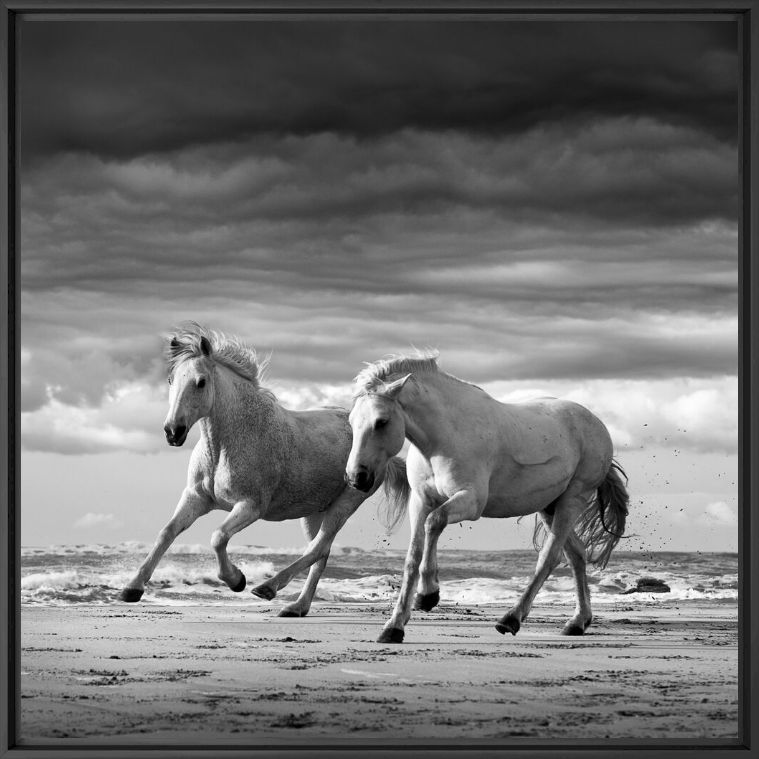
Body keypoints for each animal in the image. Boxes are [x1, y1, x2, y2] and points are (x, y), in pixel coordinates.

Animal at [120, 322, 410, 616]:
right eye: (171, 380)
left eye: (200, 382)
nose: (172, 432)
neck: (224, 446)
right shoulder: (196, 498)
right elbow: (166, 533)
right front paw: (132, 588)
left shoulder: (250, 506)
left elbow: (218, 536)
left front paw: (236, 580)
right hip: (314, 511)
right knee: (321, 553)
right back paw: (296, 607)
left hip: (346, 502)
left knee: (318, 549)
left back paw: (268, 589)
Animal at [346, 354, 628, 640]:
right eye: (351, 422)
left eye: (381, 421)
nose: (357, 477)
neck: (443, 437)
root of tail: (596, 423)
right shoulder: (420, 501)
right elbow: (413, 557)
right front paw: (394, 627)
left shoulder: (470, 502)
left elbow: (434, 523)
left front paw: (427, 595)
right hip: (550, 506)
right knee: (577, 555)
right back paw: (577, 622)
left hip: (573, 500)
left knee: (550, 557)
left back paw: (511, 619)